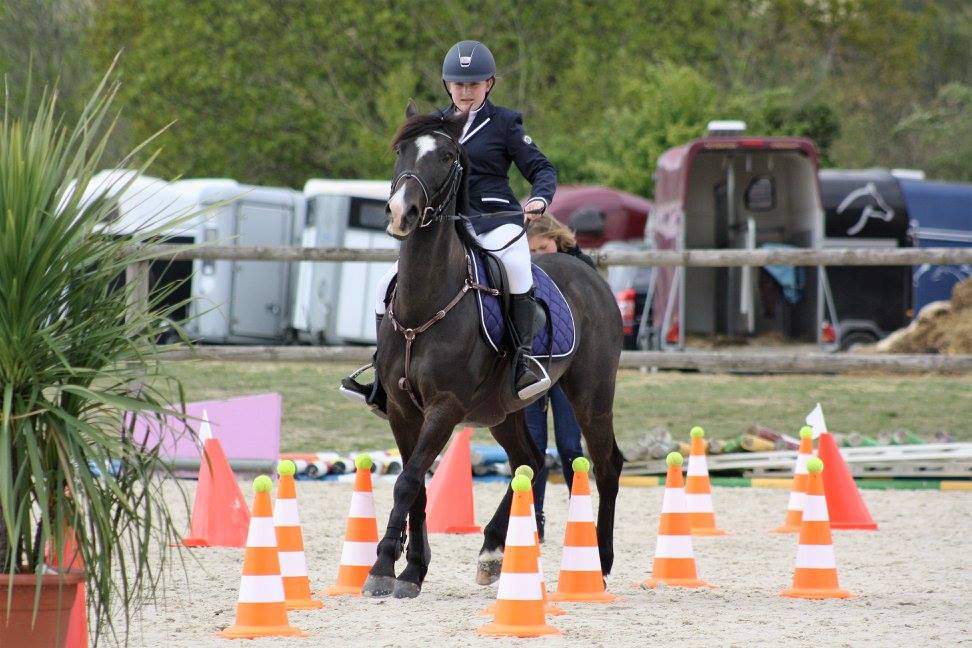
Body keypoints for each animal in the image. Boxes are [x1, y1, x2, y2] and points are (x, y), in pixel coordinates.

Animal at [358, 101, 624, 596]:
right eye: (401, 150)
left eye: (447, 156)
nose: (402, 212)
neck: (428, 302)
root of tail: (587, 271)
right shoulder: (404, 409)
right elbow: (416, 485)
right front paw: (411, 569)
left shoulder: (444, 406)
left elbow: (408, 481)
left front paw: (384, 567)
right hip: (505, 409)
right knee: (530, 461)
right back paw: (494, 552)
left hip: (591, 395)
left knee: (606, 465)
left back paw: (600, 562)